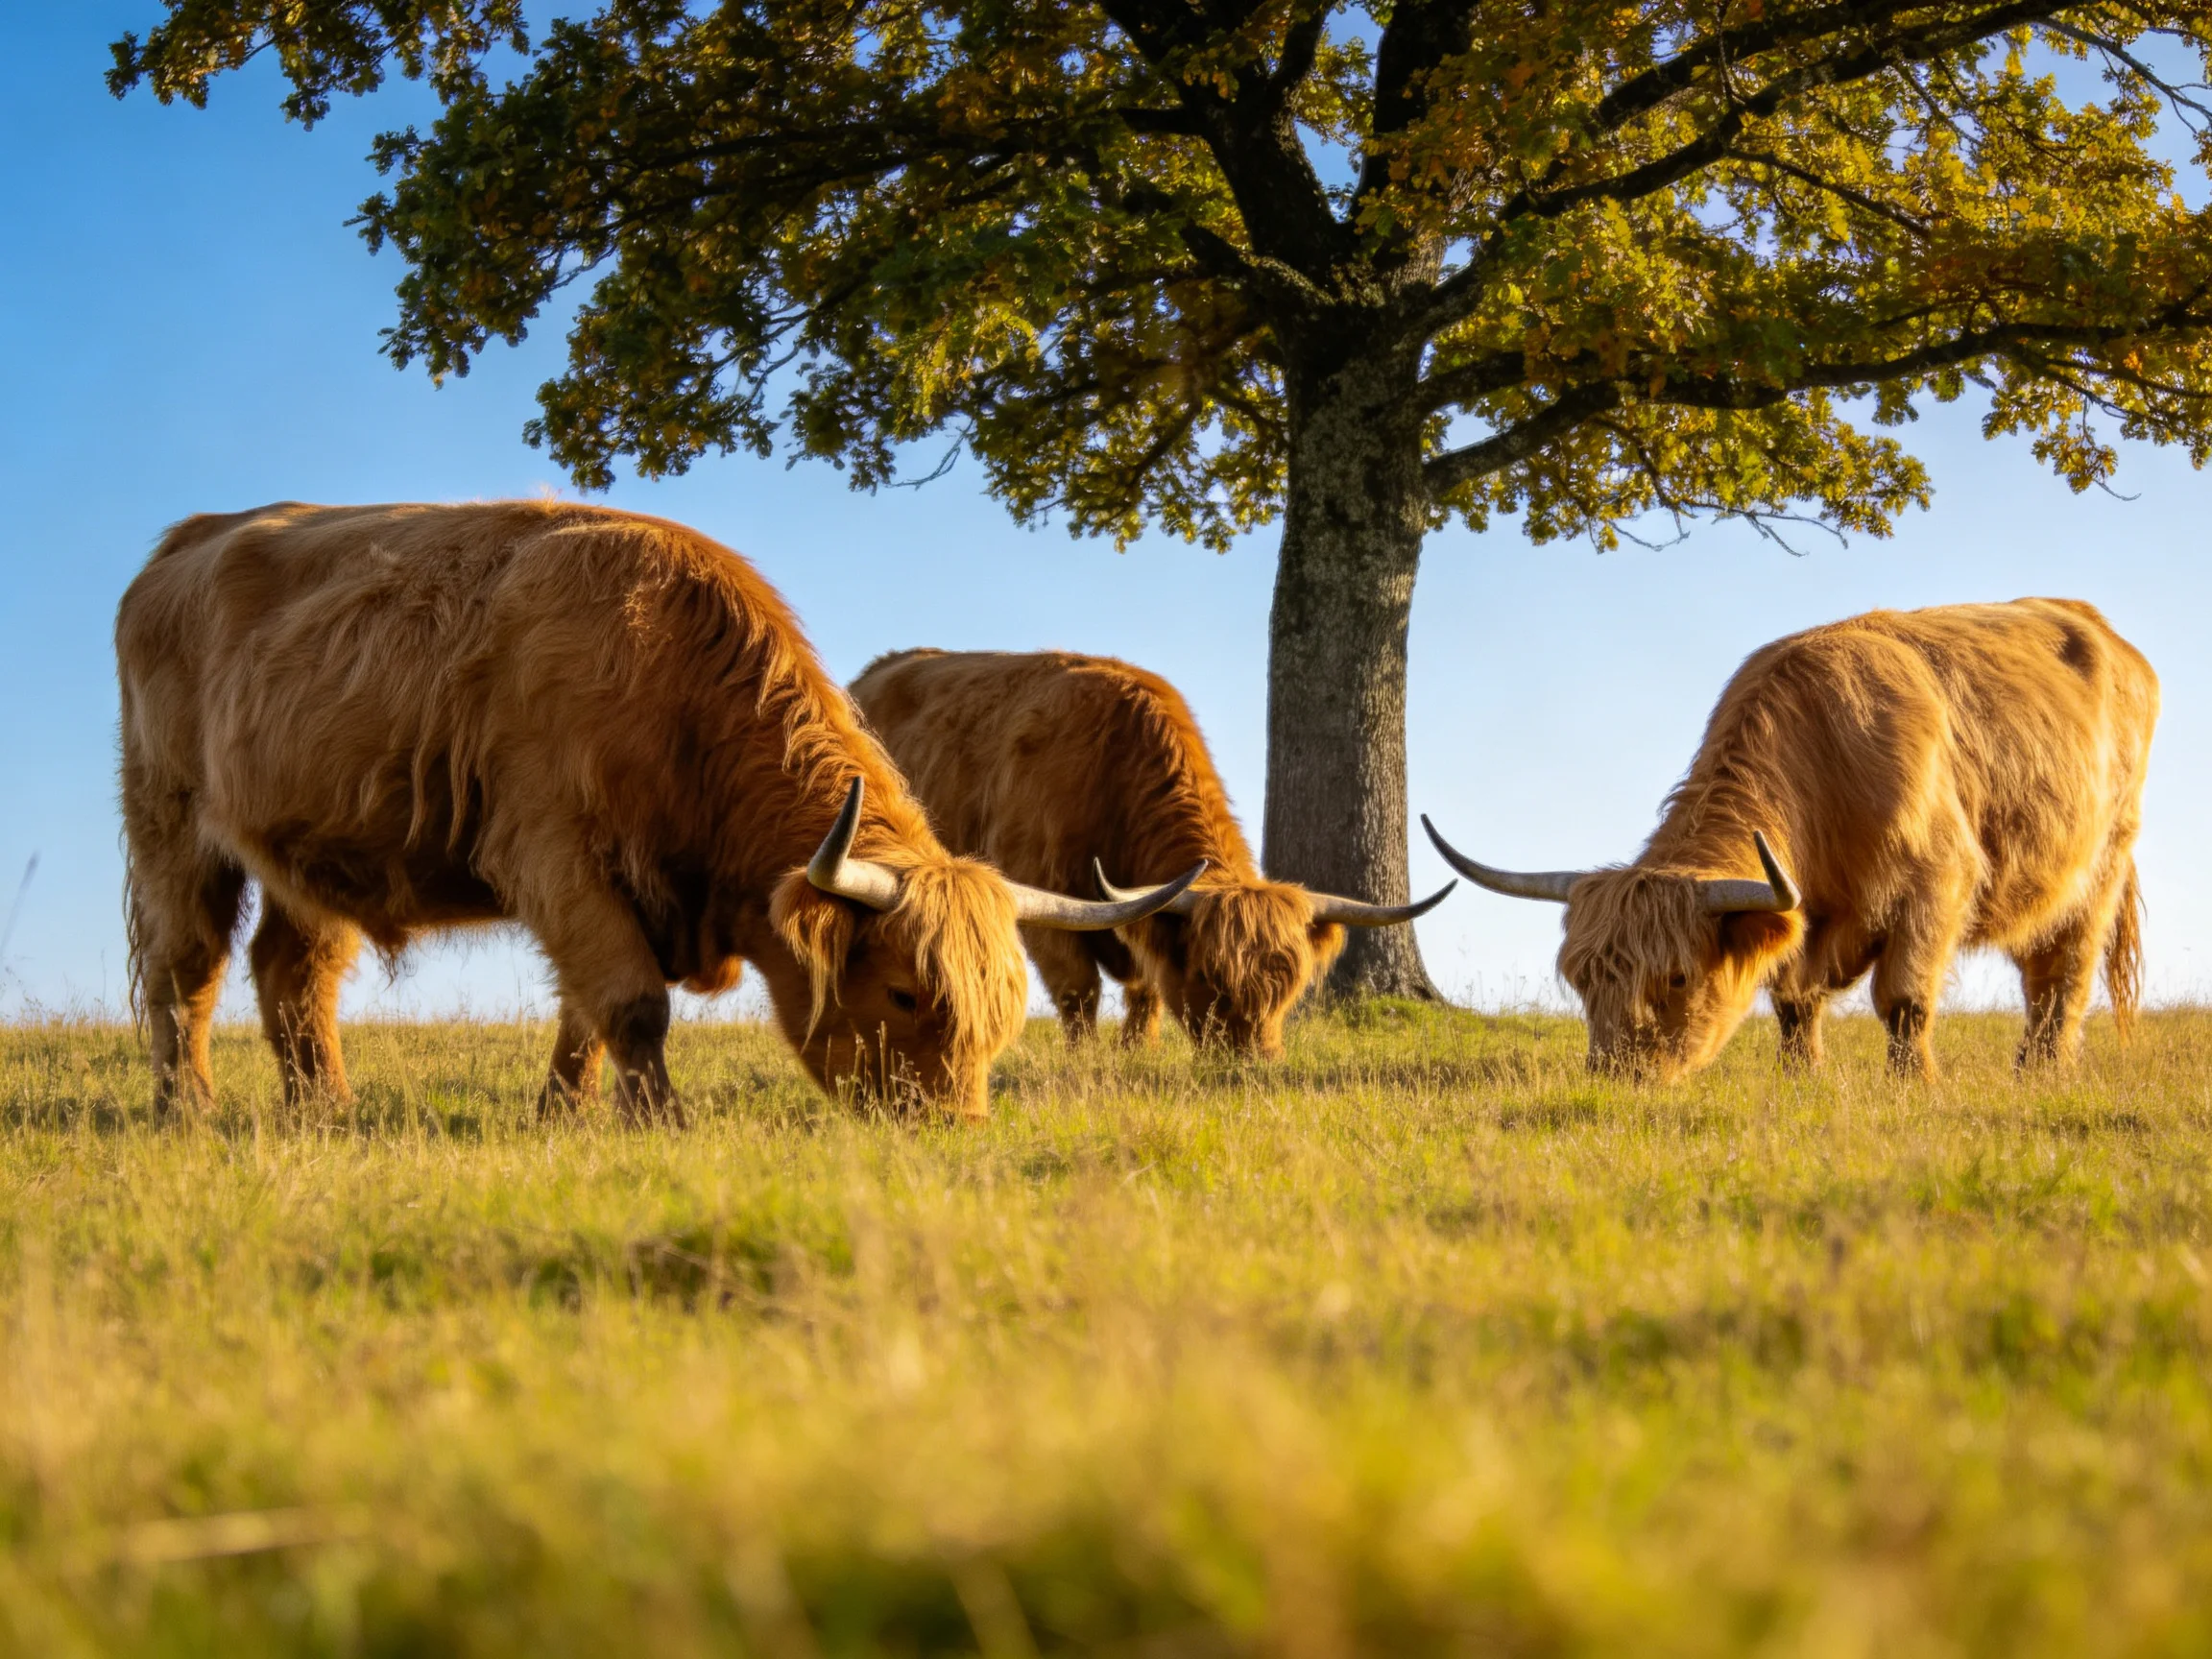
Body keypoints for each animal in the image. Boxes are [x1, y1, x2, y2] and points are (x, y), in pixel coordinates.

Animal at [115, 502, 1197, 1122]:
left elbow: (587, 1012)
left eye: (999, 1012)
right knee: (185, 970)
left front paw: (564, 1114)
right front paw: (657, 1121)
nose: (957, 1126)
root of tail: (187, 539)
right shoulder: (554, 853)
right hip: (172, 821)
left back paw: (326, 1110)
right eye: (903, 995)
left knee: (292, 973)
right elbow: (631, 1001)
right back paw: (187, 1108)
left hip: (316, 851)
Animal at [849, 649, 1452, 1057]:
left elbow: (1146, 992)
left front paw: (1137, 1052)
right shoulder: (1044, 899)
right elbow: (1078, 991)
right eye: (1210, 975)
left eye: (1291, 982)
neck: (1111, 767)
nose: (1255, 1063)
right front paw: (1084, 1062)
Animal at [1424, 599, 2157, 1081]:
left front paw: (1914, 1086)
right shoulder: (1801, 920)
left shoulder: (1935, 887)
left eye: (1677, 976)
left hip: (2102, 865)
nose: (1618, 1076)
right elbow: (1794, 1005)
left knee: (2062, 977)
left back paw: (2042, 1071)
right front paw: (1800, 1079)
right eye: (1579, 977)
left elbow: (1904, 1002)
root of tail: (2100, 627)